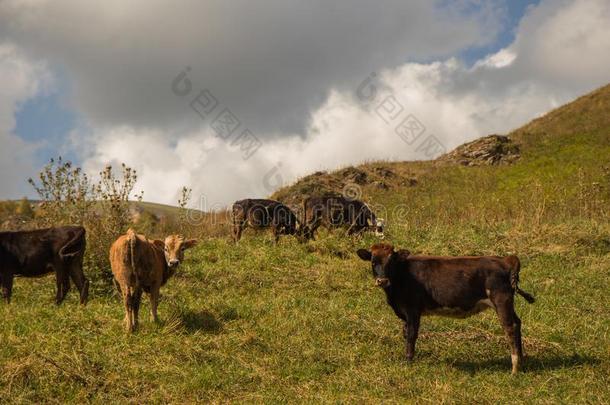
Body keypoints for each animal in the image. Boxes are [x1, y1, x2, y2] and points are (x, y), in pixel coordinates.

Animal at [356, 241, 532, 374]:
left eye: (391, 262)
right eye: (373, 262)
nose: (382, 281)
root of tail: (505, 259)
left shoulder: (413, 310)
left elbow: (411, 335)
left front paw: (409, 361)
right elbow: (405, 333)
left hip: (501, 299)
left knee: (510, 327)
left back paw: (515, 368)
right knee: (518, 323)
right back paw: (522, 363)